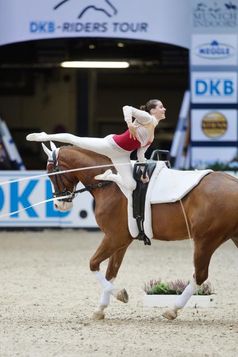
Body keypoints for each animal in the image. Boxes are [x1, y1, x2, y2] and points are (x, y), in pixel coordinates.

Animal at [41, 142, 238, 320]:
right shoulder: (121, 241)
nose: (59, 205)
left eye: (51, 172)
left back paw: (172, 310)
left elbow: (93, 264)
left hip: (206, 241)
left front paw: (120, 294)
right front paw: (100, 309)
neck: (110, 183)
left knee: (200, 276)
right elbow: (110, 272)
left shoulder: (114, 238)